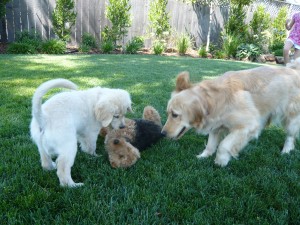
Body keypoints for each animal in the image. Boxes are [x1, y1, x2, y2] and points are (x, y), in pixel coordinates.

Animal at [162, 58, 300, 166]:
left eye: (175, 115)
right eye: (168, 113)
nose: (162, 133)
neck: (213, 100)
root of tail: (294, 69)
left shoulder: (248, 126)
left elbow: (224, 145)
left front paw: (221, 161)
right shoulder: (216, 125)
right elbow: (211, 144)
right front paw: (203, 156)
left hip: (291, 117)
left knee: (290, 136)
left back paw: (286, 150)